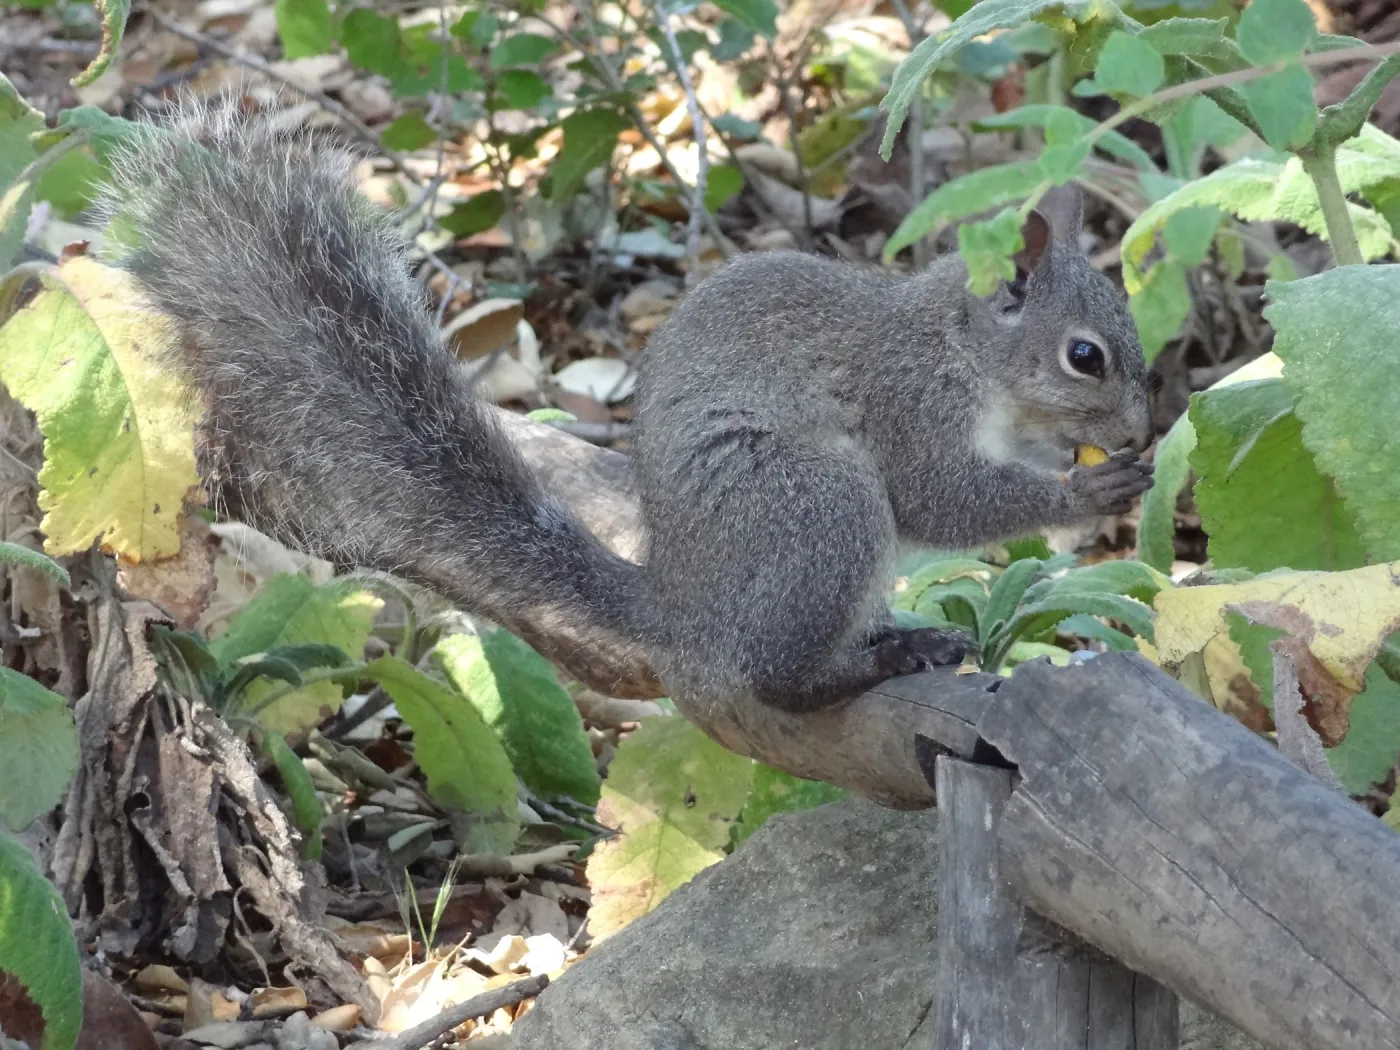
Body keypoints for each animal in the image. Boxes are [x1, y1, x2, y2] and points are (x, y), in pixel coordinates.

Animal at [97, 96, 1153, 714]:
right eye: (1086, 357)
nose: (1142, 429)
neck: (964, 348)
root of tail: (681, 608)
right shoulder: (908, 406)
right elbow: (942, 497)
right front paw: (1085, 494)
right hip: (813, 502)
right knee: (775, 681)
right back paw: (876, 663)